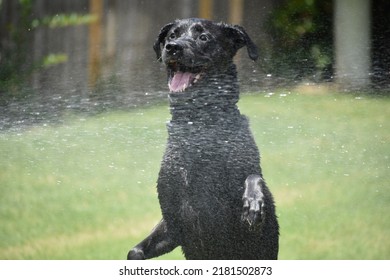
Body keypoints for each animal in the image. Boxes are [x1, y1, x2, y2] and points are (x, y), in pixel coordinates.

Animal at [127, 18, 278, 260]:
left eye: (204, 37)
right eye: (172, 36)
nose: (173, 47)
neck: (198, 124)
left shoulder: (251, 235)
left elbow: (254, 177)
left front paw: (253, 201)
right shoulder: (173, 224)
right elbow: (134, 252)